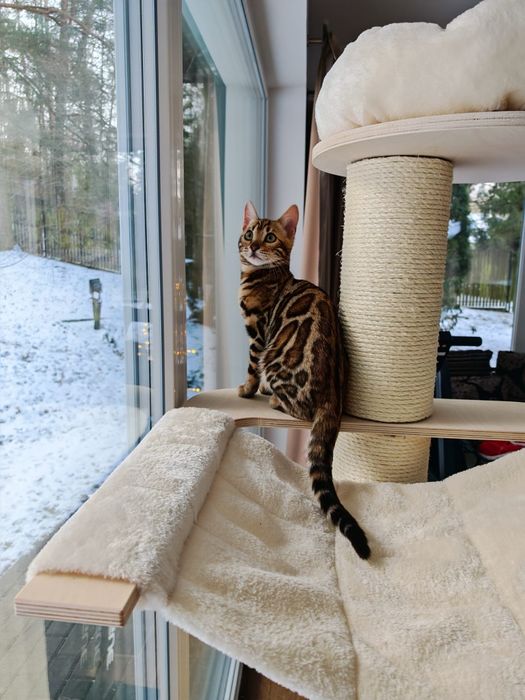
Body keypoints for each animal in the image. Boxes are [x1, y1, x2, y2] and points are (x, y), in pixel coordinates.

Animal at [238, 201, 370, 559]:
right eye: (248, 233)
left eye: (270, 237)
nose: (253, 246)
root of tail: (334, 394)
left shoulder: (259, 332)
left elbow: (251, 366)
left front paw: (247, 389)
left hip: (277, 357)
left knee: (298, 408)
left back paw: (273, 398)